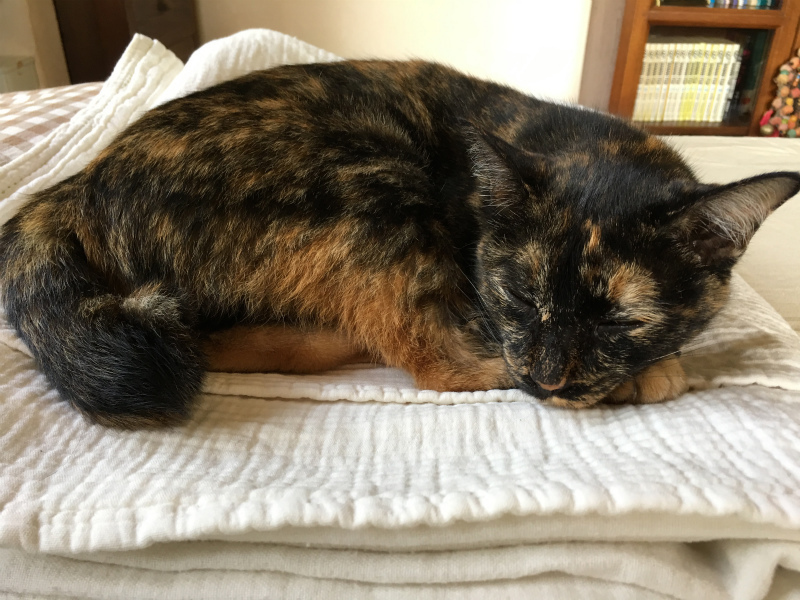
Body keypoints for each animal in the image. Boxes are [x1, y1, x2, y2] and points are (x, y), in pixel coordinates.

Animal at [0, 60, 798, 428]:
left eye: (622, 318)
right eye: (519, 292)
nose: (547, 376)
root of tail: (78, 184)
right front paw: (658, 370)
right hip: (372, 186)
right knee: (434, 359)